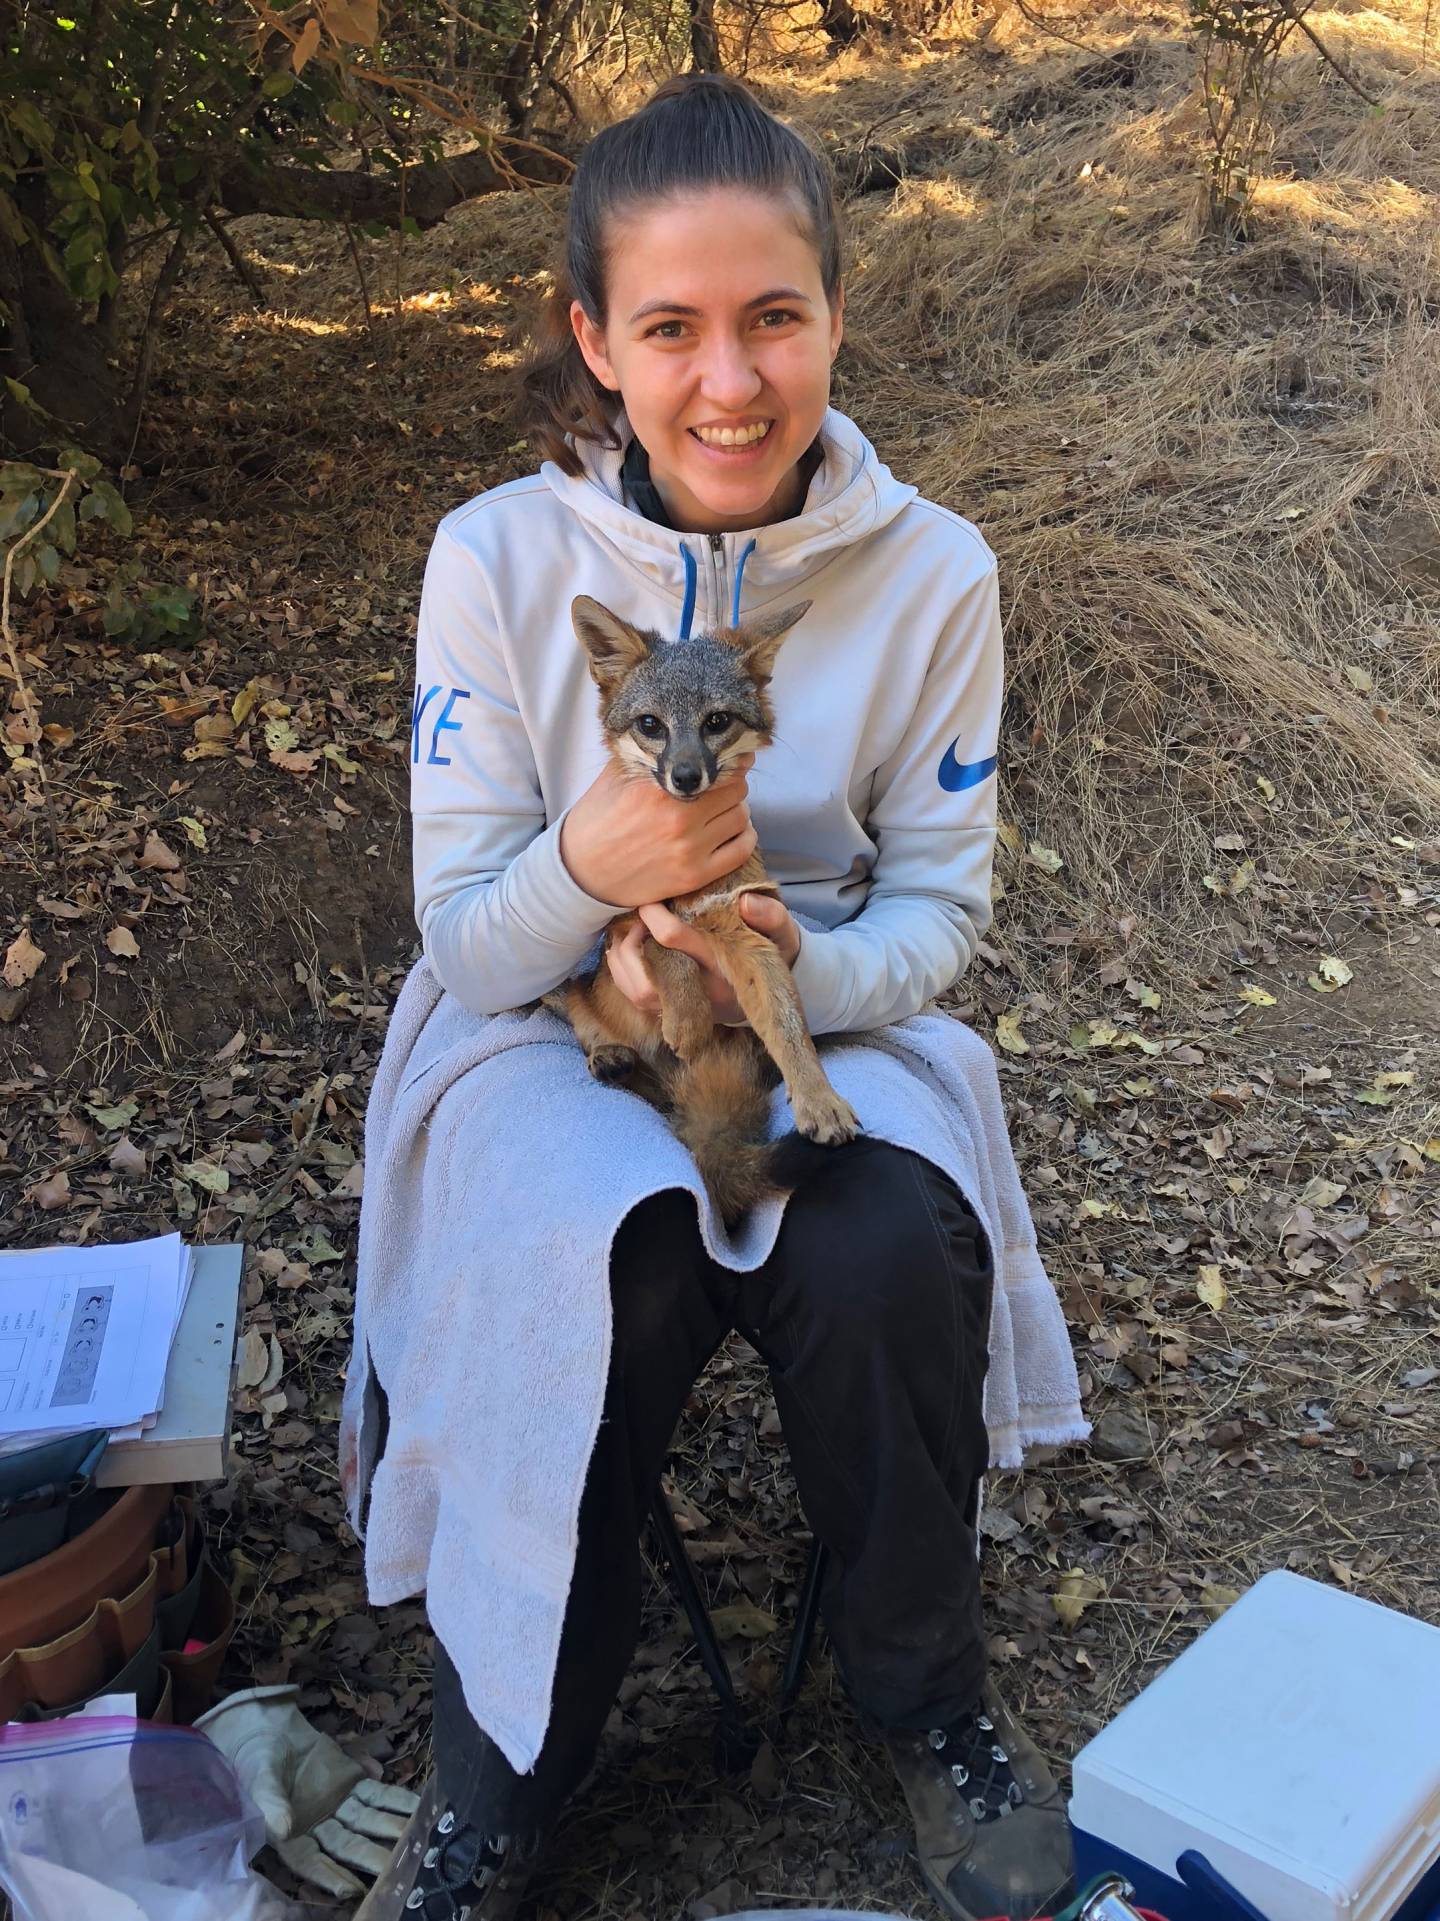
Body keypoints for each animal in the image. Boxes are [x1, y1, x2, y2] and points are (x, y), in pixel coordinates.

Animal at [548, 593, 860, 1226]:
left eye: (716, 721)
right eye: (651, 725)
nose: (686, 776)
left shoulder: (750, 932)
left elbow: (788, 1025)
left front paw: (818, 1098)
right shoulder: (627, 919)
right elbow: (669, 950)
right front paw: (688, 1022)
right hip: (583, 986)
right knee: (576, 1011)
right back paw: (612, 1055)